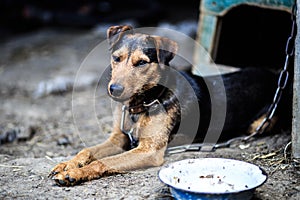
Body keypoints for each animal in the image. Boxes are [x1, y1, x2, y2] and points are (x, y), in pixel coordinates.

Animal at [48, 24, 288, 186]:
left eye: (142, 63)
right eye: (116, 58)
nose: (114, 89)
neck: (144, 101)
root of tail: (275, 76)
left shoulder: (149, 150)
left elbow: (102, 162)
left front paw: (74, 174)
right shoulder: (119, 138)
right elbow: (87, 151)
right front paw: (67, 164)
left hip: (261, 123)